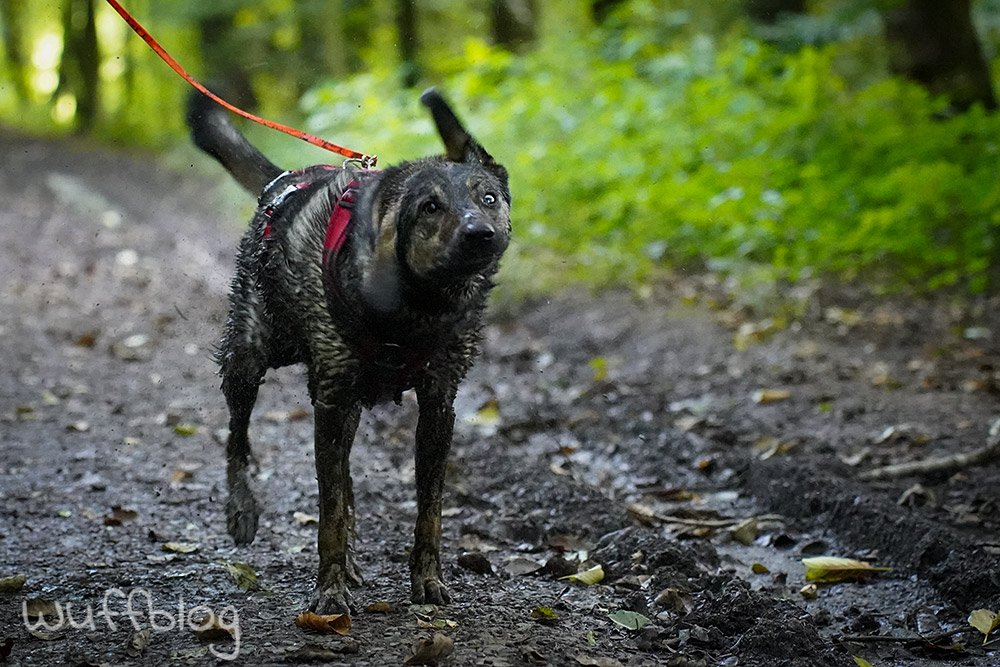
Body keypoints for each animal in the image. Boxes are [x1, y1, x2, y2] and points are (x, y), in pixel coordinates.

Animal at [188, 90, 512, 616]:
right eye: (430, 207)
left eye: (488, 198)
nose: (480, 232)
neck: (419, 304)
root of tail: (285, 181)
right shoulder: (331, 402)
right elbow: (331, 510)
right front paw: (330, 589)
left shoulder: (438, 406)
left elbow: (429, 508)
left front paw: (427, 579)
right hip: (248, 357)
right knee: (238, 436)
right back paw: (243, 509)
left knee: (343, 473)